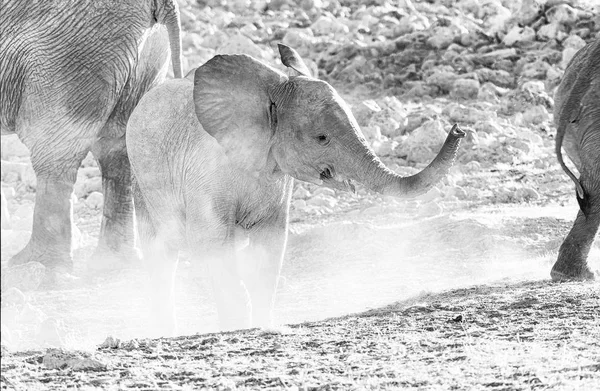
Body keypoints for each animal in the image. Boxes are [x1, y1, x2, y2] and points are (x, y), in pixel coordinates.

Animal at [0, 0, 183, 274]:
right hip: (146, 57)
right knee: (118, 152)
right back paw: (113, 264)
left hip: (68, 56)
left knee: (53, 155)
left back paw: (36, 265)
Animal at [125, 44, 464, 336]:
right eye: (322, 138)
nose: (458, 128)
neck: (267, 94)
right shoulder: (206, 175)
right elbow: (212, 242)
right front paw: (237, 326)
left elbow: (270, 245)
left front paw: (259, 325)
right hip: (141, 181)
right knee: (161, 254)